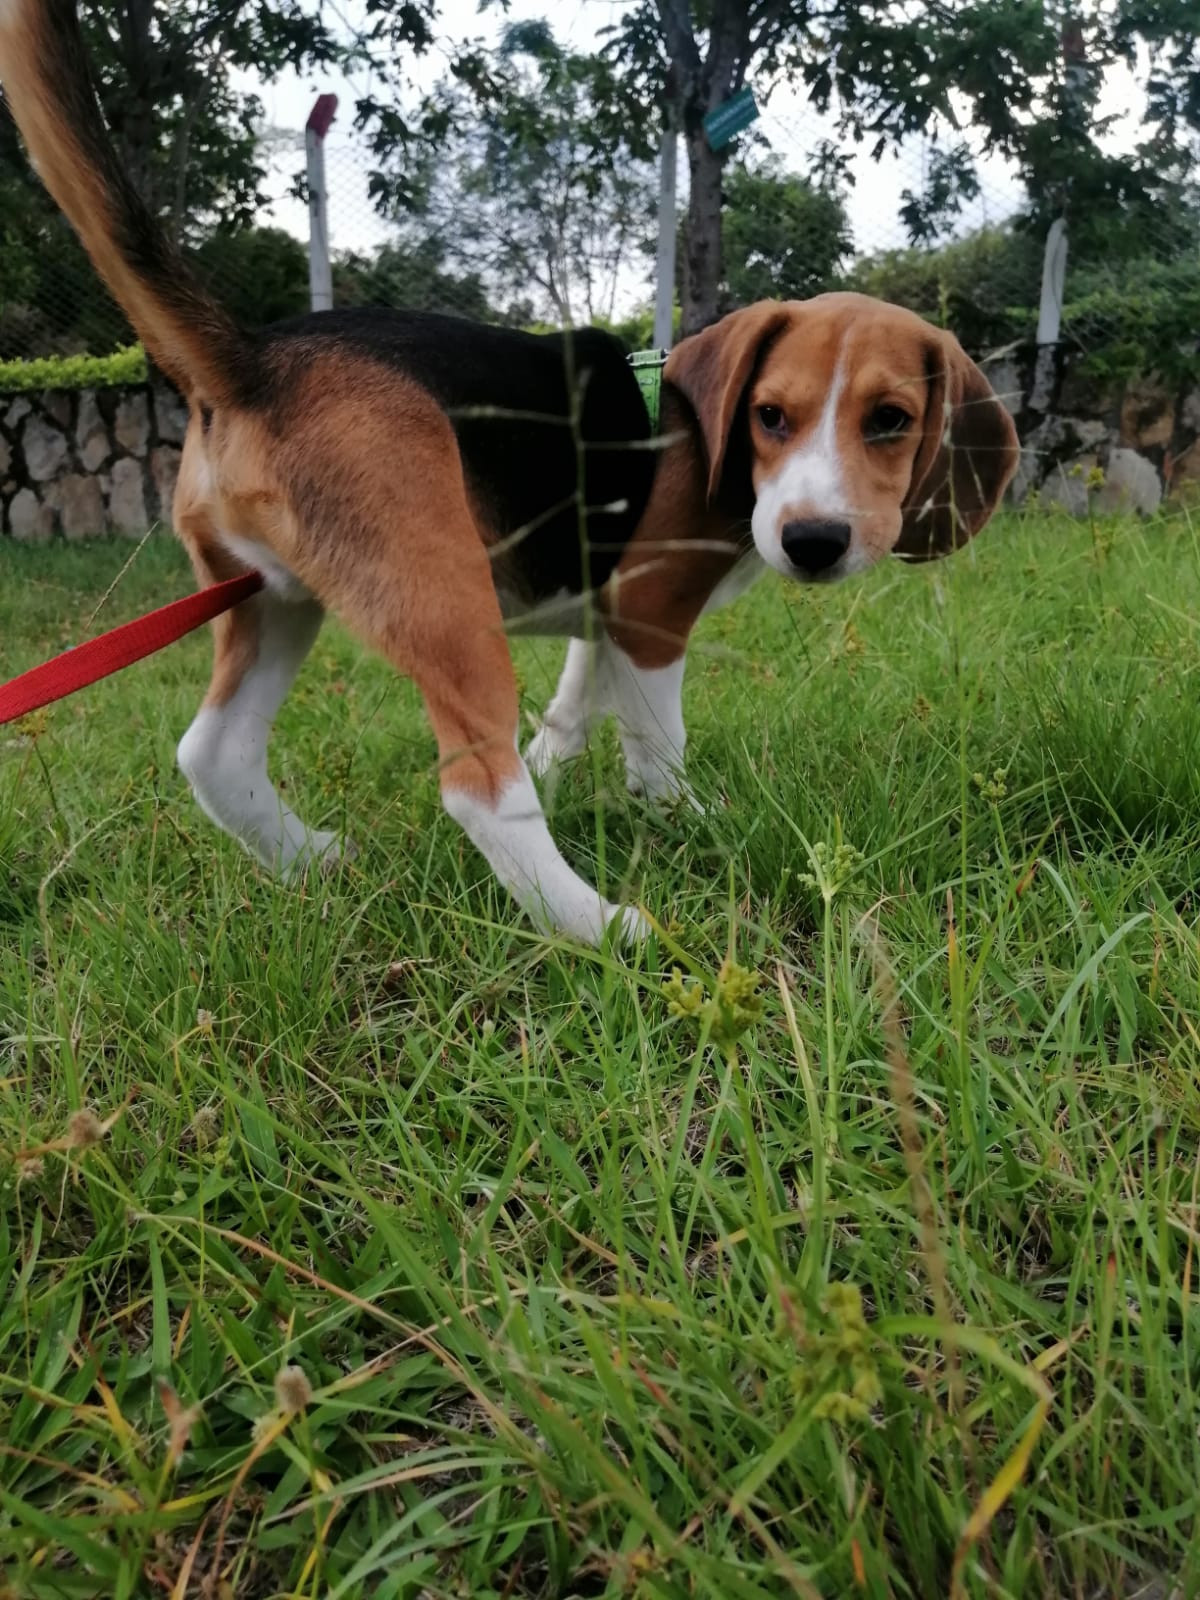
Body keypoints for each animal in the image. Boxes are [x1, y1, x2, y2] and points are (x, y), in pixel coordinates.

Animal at [0, 0, 1019, 945]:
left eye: (890, 422)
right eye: (771, 417)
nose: (813, 542)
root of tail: (253, 358)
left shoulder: (605, 613)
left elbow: (571, 712)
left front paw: (569, 771)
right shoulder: (651, 612)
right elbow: (658, 747)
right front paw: (691, 826)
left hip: (275, 598)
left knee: (214, 754)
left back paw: (316, 865)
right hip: (441, 597)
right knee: (478, 788)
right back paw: (601, 927)